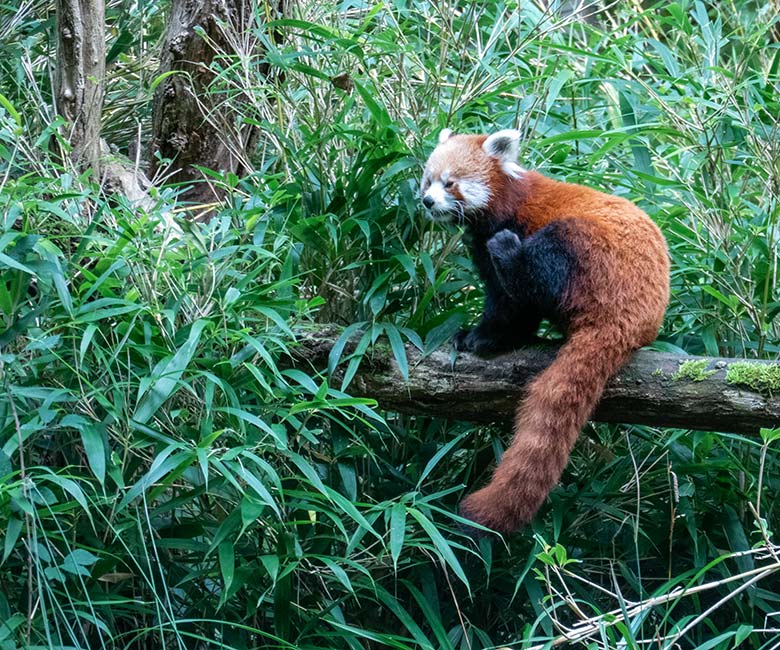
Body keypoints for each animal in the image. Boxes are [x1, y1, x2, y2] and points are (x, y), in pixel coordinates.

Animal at [420, 128, 672, 532]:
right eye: (427, 180)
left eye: (450, 183)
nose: (427, 201)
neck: (504, 203)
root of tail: (628, 320)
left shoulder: (511, 225)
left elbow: (508, 304)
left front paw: (483, 337)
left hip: (585, 251)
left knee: (539, 270)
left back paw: (510, 254)